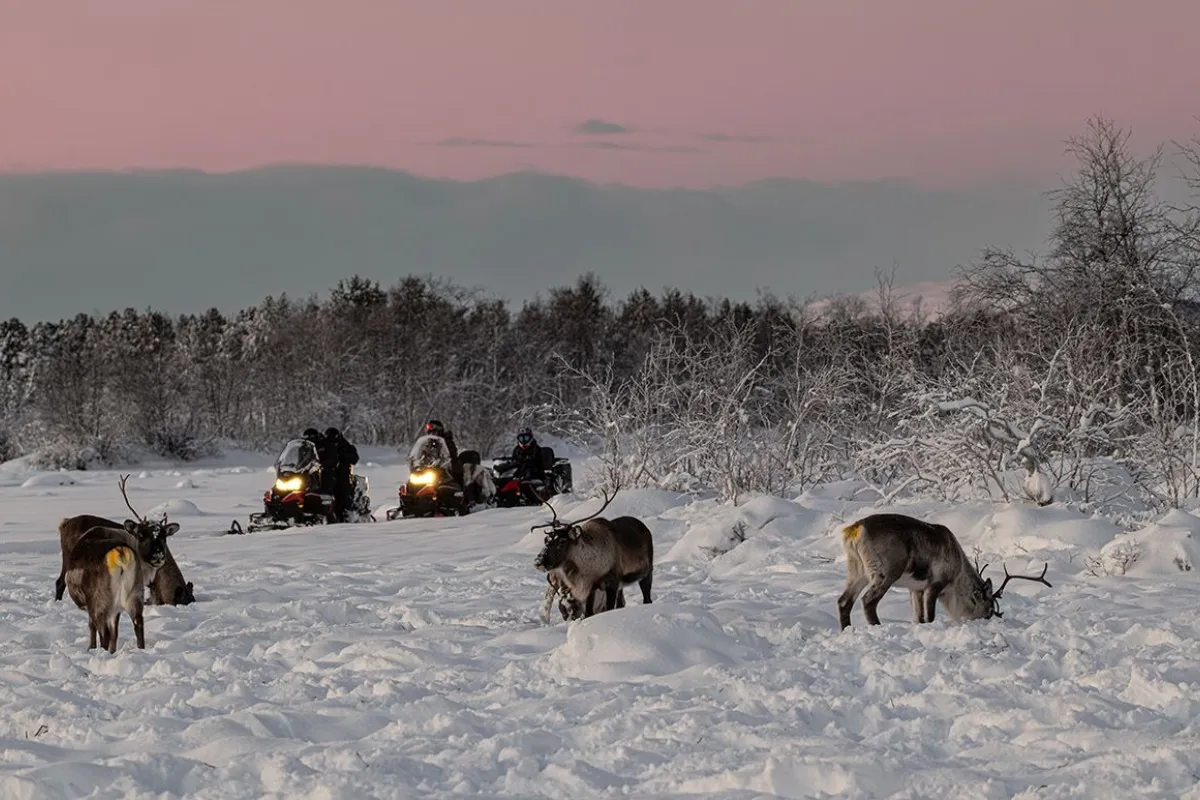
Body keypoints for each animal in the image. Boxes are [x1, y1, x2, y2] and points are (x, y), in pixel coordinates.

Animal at [62, 475, 179, 652]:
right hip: (134, 593)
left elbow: (94, 628)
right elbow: (116, 632)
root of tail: (121, 554)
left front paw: (91, 648)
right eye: (141, 534)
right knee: (138, 623)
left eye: (164, 535)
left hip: (100, 598)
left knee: (103, 631)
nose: (158, 555)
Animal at [532, 489, 653, 619]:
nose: (538, 561)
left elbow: (609, 608)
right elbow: (589, 613)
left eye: (562, 542)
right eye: (546, 540)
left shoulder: (612, 583)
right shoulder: (591, 589)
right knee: (621, 603)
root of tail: (645, 528)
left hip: (647, 572)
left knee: (647, 598)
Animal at [837, 512, 1052, 631]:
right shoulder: (935, 584)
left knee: (844, 601)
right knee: (868, 601)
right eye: (989, 609)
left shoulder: (916, 588)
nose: (987, 618)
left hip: (856, 570)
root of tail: (855, 529)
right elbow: (929, 617)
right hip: (886, 572)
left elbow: (919, 618)